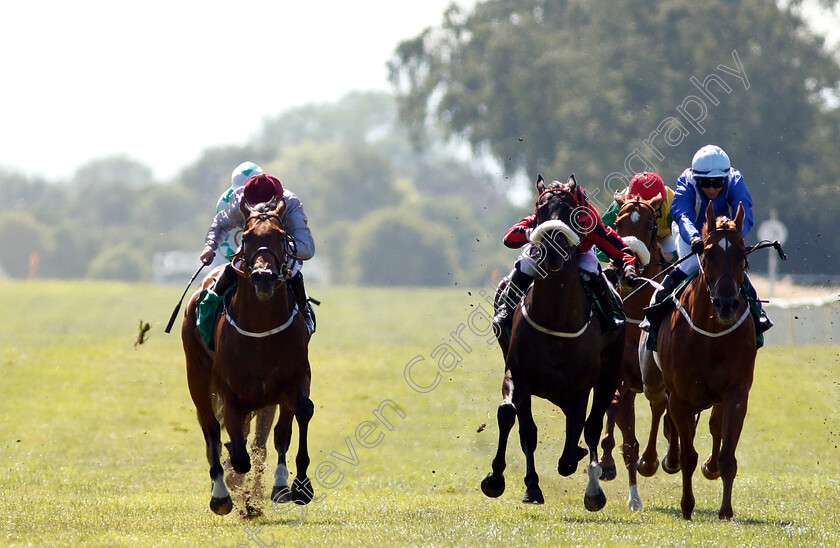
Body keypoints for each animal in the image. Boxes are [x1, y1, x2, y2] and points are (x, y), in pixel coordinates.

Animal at [182, 199, 314, 516]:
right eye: (247, 236)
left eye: (281, 236)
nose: (263, 277)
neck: (261, 330)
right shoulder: (229, 391)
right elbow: (237, 451)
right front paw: (234, 483)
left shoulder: (294, 379)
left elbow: (296, 419)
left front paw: (297, 485)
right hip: (197, 375)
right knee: (211, 428)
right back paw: (221, 493)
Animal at [482, 176, 628, 510]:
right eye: (540, 211)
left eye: (573, 213)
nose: (551, 251)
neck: (556, 321)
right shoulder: (518, 375)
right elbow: (514, 420)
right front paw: (502, 480)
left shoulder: (580, 386)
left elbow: (575, 439)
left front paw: (589, 483)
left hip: (609, 373)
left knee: (592, 426)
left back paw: (592, 483)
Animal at [648, 203, 756, 520]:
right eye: (707, 255)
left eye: (743, 256)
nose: (726, 304)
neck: (711, 337)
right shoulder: (680, 396)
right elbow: (687, 455)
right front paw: (687, 506)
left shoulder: (736, 392)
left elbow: (728, 454)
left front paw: (726, 511)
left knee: (714, 427)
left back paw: (711, 466)